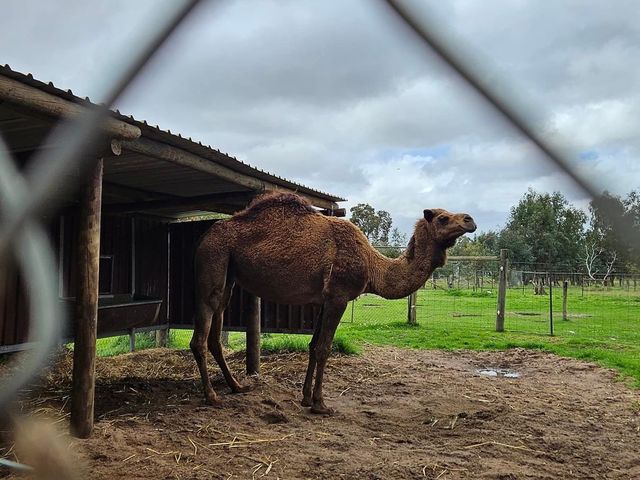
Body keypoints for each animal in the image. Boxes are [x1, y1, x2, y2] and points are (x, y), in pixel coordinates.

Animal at [190, 191, 476, 412]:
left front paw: (306, 398)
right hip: (214, 260)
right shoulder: (339, 296)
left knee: (215, 333)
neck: (373, 266)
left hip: (229, 277)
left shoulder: (324, 300)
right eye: (443, 217)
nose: (470, 220)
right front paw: (320, 404)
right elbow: (324, 348)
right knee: (199, 337)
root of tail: (204, 237)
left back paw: (236, 386)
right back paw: (211, 396)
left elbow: (313, 345)